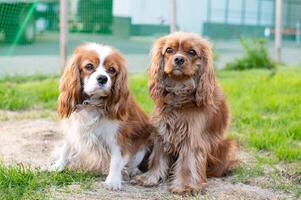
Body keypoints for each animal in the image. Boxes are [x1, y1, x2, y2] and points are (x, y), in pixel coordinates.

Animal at [49, 43, 155, 190]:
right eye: (89, 66)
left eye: (111, 70)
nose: (103, 78)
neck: (92, 104)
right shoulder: (75, 128)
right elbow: (66, 148)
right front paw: (58, 166)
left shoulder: (117, 136)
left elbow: (116, 159)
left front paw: (113, 180)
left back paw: (131, 170)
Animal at [132, 32, 238, 194]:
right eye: (169, 50)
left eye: (192, 52)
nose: (179, 59)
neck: (179, 87)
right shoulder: (163, 130)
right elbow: (157, 157)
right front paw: (149, 178)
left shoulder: (192, 136)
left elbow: (188, 162)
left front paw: (186, 186)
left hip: (229, 145)